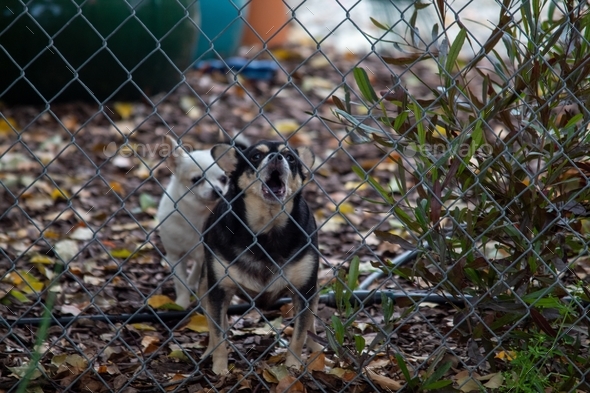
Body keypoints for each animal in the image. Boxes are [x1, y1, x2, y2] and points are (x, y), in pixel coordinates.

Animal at [156, 135, 249, 310]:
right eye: (197, 179)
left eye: (224, 179)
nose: (218, 190)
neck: (199, 215)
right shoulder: (175, 257)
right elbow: (181, 284)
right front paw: (182, 303)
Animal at [202, 140, 324, 374]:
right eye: (256, 156)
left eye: (290, 157)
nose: (277, 157)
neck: (267, 230)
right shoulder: (218, 291)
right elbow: (218, 333)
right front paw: (220, 368)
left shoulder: (304, 291)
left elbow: (299, 334)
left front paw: (293, 366)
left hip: (313, 292)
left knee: (311, 324)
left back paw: (317, 349)